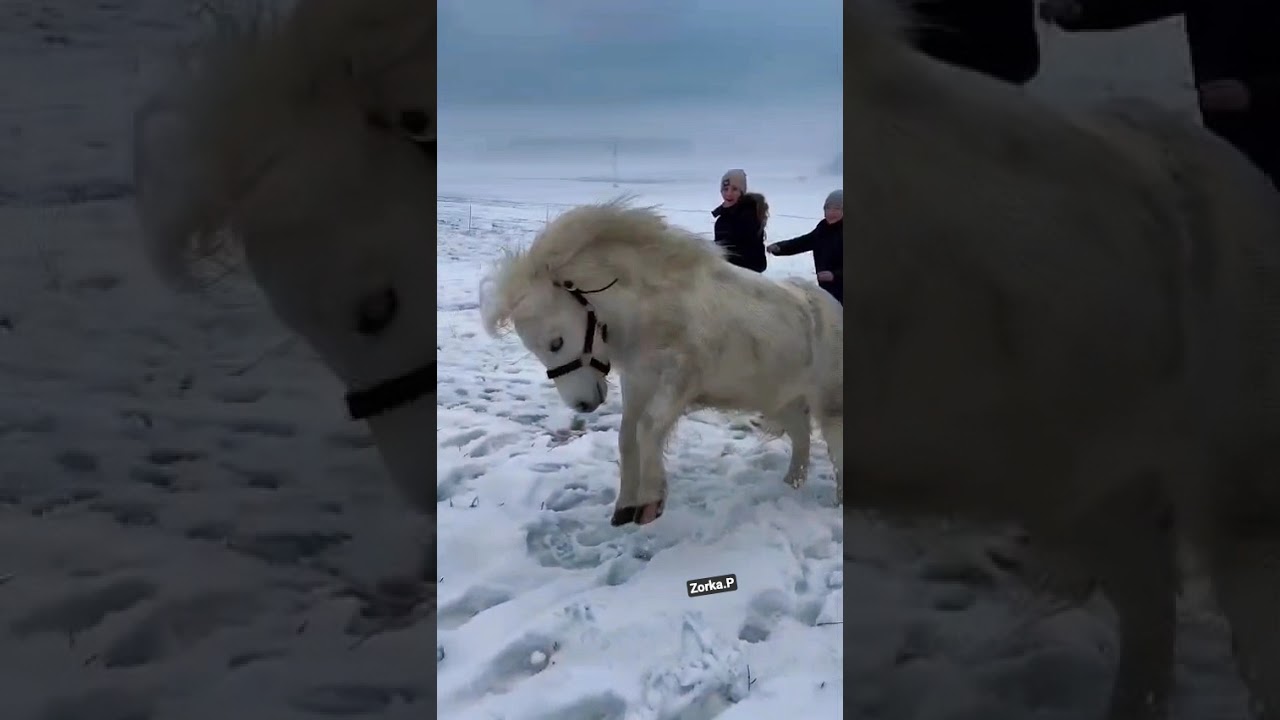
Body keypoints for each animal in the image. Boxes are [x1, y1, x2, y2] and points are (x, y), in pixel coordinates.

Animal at [478, 200, 845, 526]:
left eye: (555, 342)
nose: (582, 404)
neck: (656, 308)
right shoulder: (637, 380)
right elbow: (627, 436)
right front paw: (625, 506)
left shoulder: (679, 379)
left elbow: (649, 426)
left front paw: (651, 502)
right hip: (784, 399)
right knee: (801, 437)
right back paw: (791, 485)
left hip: (828, 403)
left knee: (835, 445)